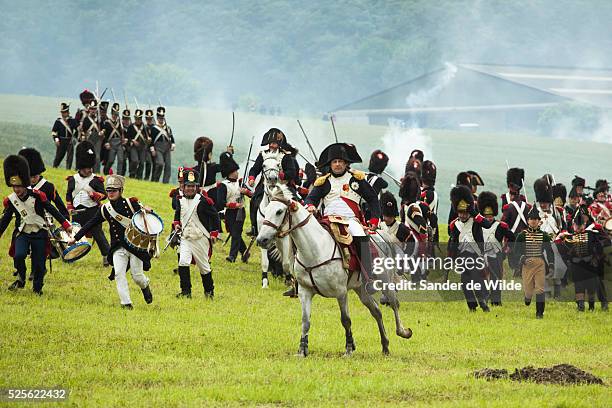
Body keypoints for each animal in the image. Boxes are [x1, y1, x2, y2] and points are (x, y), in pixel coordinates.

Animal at [256, 183, 408, 356]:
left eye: (279, 211)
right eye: (267, 209)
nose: (261, 239)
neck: (315, 249)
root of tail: (382, 236)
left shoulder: (341, 293)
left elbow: (346, 320)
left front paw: (349, 348)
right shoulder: (305, 292)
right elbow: (305, 321)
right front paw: (302, 349)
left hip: (385, 282)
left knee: (394, 303)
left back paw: (403, 332)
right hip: (360, 288)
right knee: (376, 311)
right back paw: (385, 346)